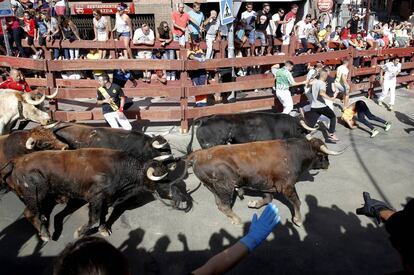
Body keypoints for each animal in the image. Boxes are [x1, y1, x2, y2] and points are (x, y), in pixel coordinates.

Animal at [0, 149, 192, 242]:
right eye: (163, 180)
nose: (180, 198)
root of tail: (17, 160)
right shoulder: (96, 198)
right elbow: (93, 218)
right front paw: (79, 232)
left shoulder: (106, 199)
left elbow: (104, 216)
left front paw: (104, 229)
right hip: (36, 195)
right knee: (30, 213)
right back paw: (45, 234)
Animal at [184, 137, 342, 226]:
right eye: (322, 155)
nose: (328, 164)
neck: (294, 153)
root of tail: (199, 154)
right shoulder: (287, 186)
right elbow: (297, 202)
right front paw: (297, 220)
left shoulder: (267, 184)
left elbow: (268, 198)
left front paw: (254, 203)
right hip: (224, 187)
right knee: (224, 205)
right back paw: (237, 219)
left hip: (214, 188)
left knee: (219, 205)